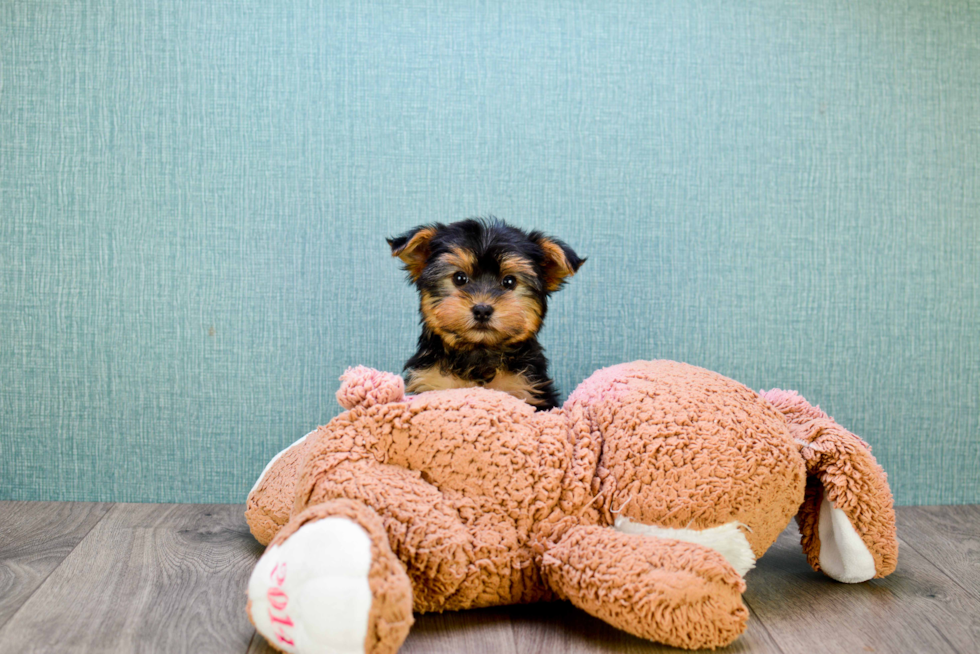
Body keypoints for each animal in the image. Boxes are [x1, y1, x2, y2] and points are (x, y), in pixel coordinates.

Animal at [386, 218, 580, 410]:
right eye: (459, 278)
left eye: (509, 281)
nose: (482, 310)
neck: (479, 352)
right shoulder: (432, 382)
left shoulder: (525, 386)